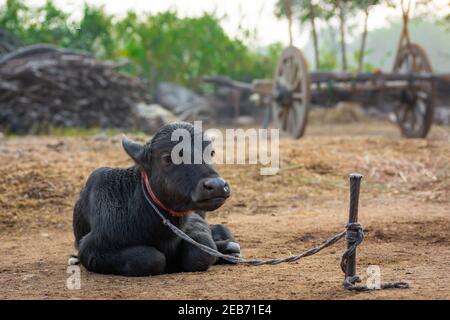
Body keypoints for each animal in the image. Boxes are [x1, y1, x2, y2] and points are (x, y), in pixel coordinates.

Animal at [73, 121, 239, 276]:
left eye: (211, 153)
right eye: (168, 158)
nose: (217, 186)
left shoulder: (194, 222)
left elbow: (201, 253)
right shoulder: (90, 248)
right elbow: (152, 259)